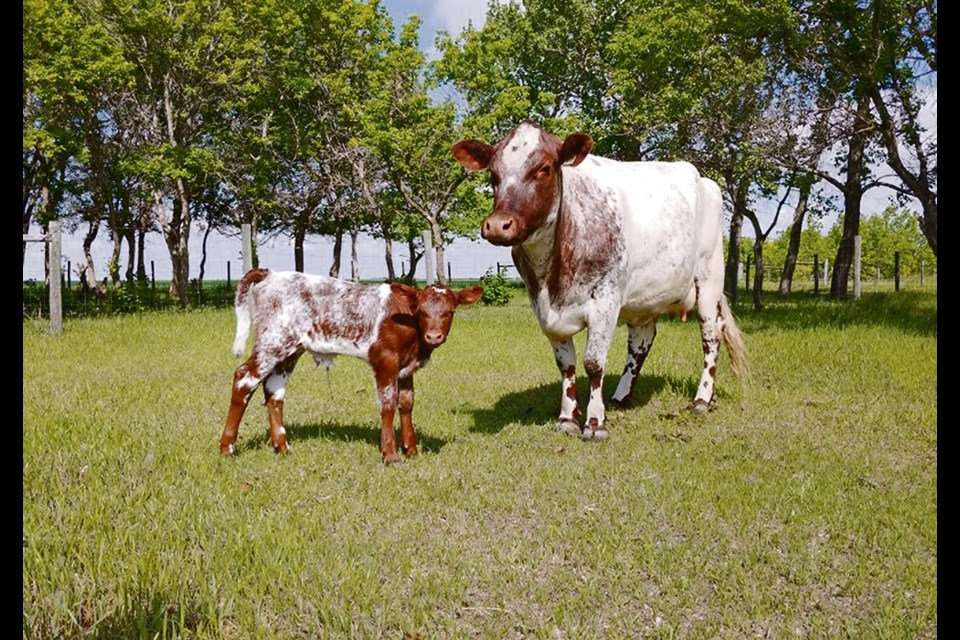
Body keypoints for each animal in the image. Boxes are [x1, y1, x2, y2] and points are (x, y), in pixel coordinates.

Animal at [220, 270, 484, 464]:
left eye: (450, 311)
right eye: (422, 311)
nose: (434, 336)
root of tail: (270, 274)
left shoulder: (406, 367)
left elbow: (407, 404)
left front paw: (412, 449)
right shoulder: (385, 360)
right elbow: (388, 404)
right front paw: (391, 454)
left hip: (290, 349)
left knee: (274, 390)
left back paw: (282, 447)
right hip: (272, 341)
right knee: (244, 379)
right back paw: (227, 448)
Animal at [452, 120, 752, 440]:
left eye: (544, 168)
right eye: (493, 173)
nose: (498, 225)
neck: (553, 278)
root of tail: (703, 179)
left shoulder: (605, 300)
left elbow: (593, 363)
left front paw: (595, 423)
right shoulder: (542, 308)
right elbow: (566, 365)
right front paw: (567, 418)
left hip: (709, 279)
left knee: (711, 336)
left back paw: (701, 399)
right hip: (645, 298)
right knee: (641, 341)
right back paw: (622, 397)